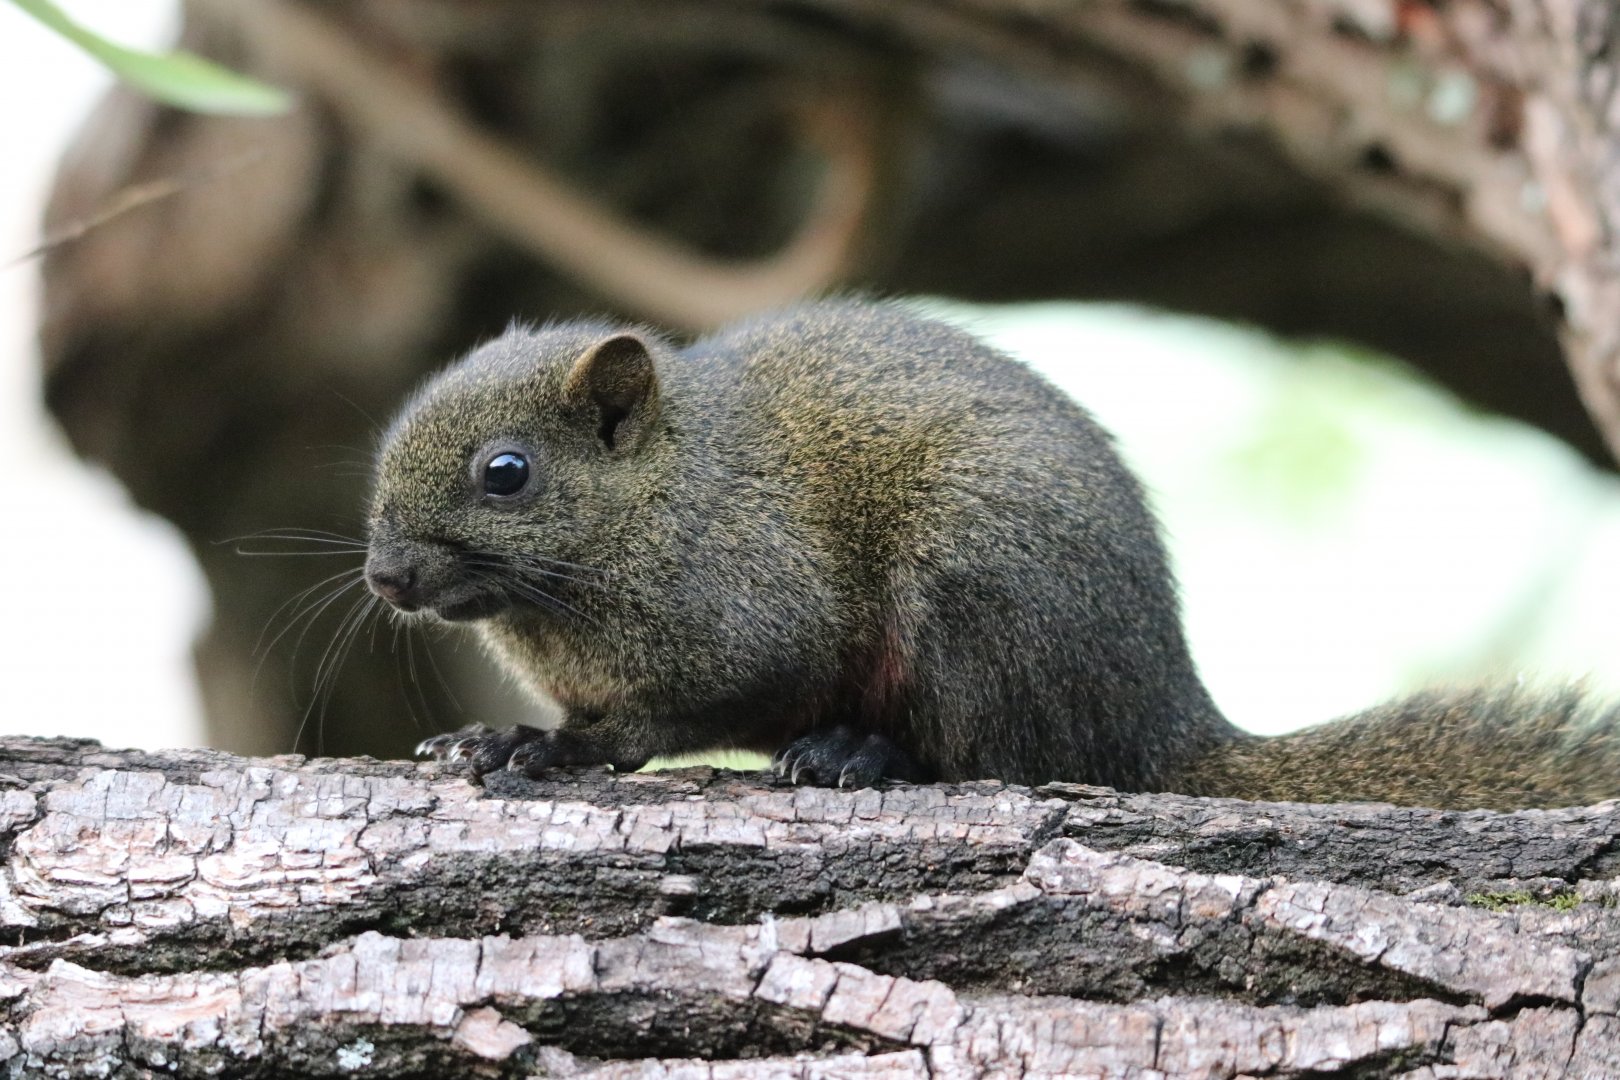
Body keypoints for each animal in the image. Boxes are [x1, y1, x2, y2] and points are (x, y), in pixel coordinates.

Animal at [364, 299, 1620, 811]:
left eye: (507, 472)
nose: (385, 578)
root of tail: (1161, 713)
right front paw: (492, 735)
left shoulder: (752, 610)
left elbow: (680, 712)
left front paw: (555, 749)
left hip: (977, 602)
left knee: (1005, 757)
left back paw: (864, 756)